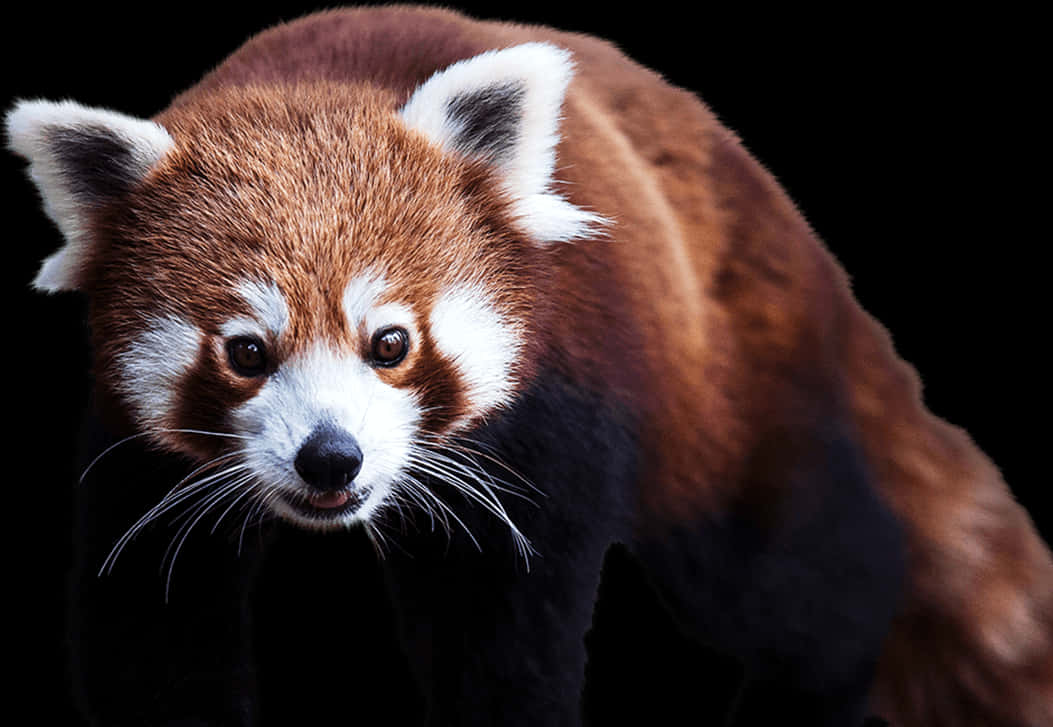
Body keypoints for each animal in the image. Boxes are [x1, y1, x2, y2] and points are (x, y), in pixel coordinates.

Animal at [10, 5, 1053, 724]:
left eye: (390, 343)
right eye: (245, 352)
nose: (330, 457)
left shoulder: (556, 406)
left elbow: (503, 634)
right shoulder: (135, 458)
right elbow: (151, 621)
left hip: (716, 383)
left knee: (790, 567)